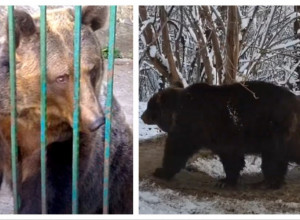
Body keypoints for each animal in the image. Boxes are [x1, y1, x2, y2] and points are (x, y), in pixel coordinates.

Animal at [142, 81, 300, 189]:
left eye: (149, 106)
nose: (142, 116)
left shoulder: (194, 125)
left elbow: (177, 149)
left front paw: (161, 171)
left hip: (273, 129)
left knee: (272, 158)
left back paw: (264, 182)